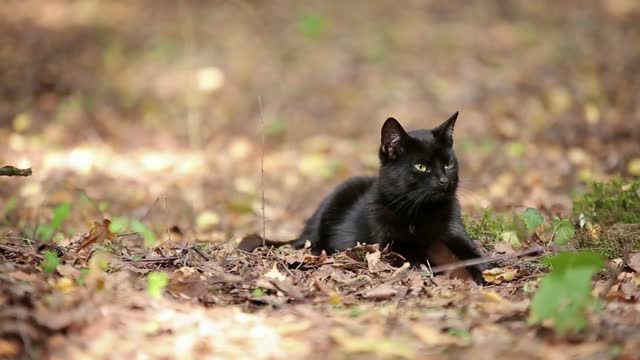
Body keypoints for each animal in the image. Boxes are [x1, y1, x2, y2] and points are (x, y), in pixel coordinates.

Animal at [240, 114, 484, 282]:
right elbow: (422, 259)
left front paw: (483, 274)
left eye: (448, 164)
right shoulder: (392, 245)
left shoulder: (455, 232)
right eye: (421, 166)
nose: (444, 181)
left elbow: (473, 254)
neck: (421, 213)